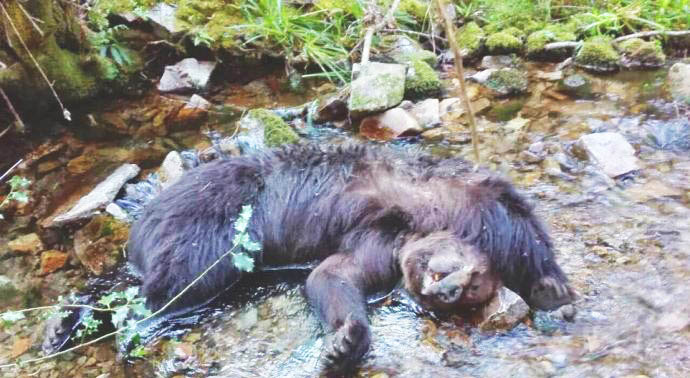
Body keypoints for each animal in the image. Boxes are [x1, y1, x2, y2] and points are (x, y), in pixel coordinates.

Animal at [122, 144, 568, 370]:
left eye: (474, 290)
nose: (448, 290)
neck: (421, 222)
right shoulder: (459, 196)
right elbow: (520, 225)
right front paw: (553, 286)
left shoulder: (380, 244)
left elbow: (332, 274)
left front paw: (346, 340)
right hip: (217, 215)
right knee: (188, 269)